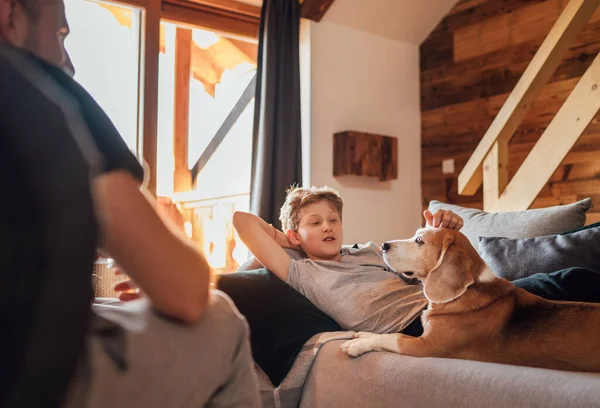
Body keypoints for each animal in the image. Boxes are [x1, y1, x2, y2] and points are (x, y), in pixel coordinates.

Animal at [340, 228, 600, 372]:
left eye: (419, 241)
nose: (384, 245)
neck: (464, 293)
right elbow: (391, 333)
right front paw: (362, 335)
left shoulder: (426, 346)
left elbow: (392, 337)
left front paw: (358, 345)